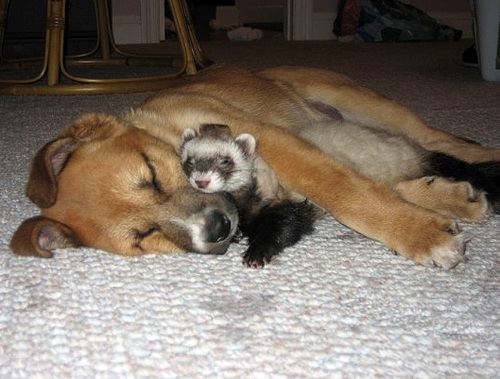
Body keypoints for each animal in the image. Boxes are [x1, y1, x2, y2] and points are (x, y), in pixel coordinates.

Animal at [10, 65, 500, 268]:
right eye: (143, 236)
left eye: (150, 173)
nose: (218, 229)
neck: (166, 129)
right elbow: (362, 184)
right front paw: (441, 206)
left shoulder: (275, 139)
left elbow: (344, 189)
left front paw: (419, 234)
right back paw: (458, 194)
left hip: (365, 103)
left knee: (440, 141)